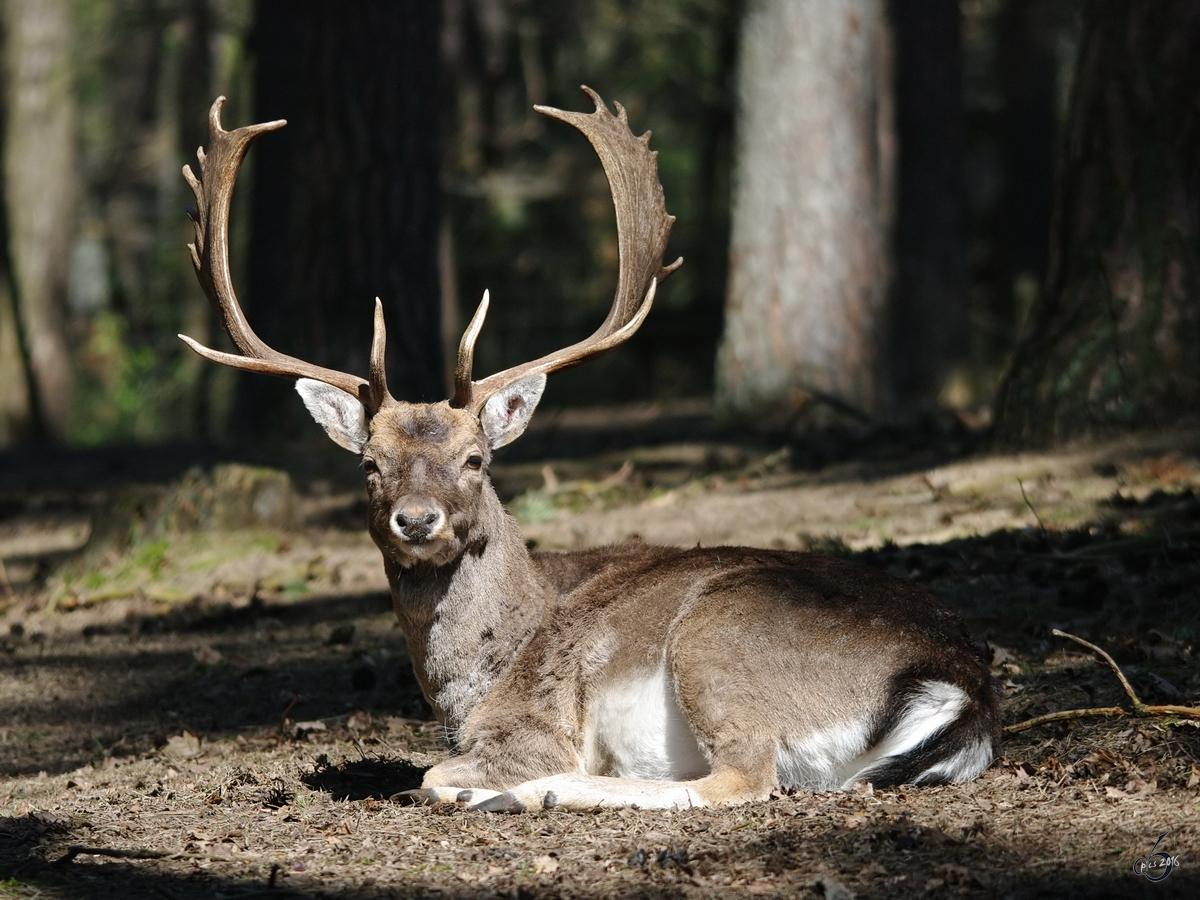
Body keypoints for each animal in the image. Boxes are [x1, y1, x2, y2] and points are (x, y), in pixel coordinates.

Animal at [180, 90, 1003, 811]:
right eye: (369, 464)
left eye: (477, 458)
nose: (417, 520)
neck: (470, 681)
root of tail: (960, 686)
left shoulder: (531, 724)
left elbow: (433, 769)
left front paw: (487, 784)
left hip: (721, 636)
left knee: (741, 778)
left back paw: (529, 794)